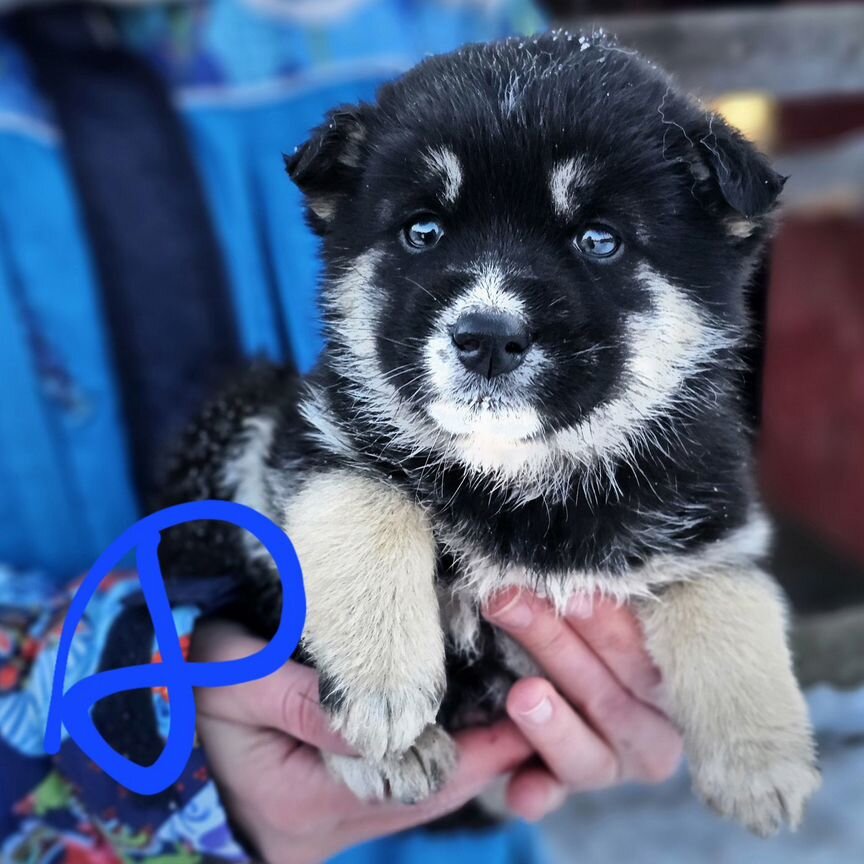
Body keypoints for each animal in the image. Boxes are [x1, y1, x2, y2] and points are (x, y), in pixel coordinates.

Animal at [160, 33, 816, 836]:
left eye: (600, 239)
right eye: (423, 230)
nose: (487, 339)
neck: (521, 478)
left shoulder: (710, 521)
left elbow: (731, 601)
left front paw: (764, 764)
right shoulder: (312, 434)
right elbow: (368, 503)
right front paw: (383, 692)